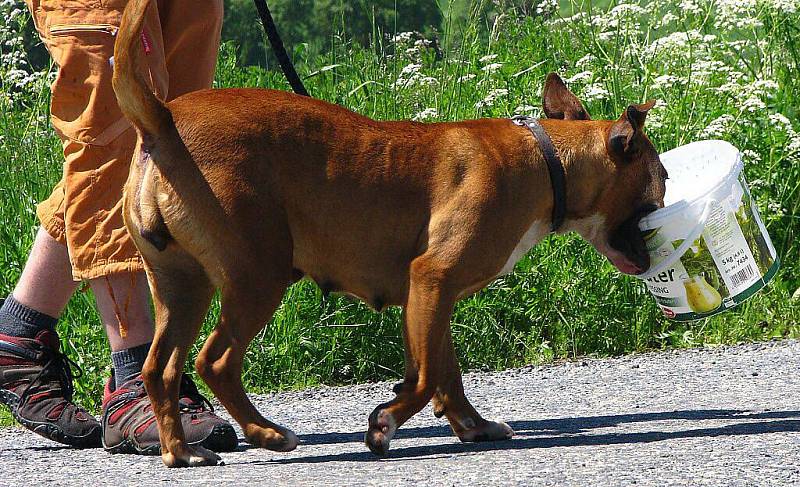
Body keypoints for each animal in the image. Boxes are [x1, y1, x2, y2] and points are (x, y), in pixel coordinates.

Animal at [112, 0, 668, 468]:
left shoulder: (431, 295)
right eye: (660, 184)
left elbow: (445, 371)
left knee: (159, 368)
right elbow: (422, 378)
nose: (653, 250)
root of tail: (164, 121)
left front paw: (473, 425)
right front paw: (386, 423)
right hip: (259, 278)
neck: (546, 158)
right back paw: (266, 434)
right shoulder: (433, 280)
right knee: (216, 362)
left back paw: (180, 451)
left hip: (182, 287)